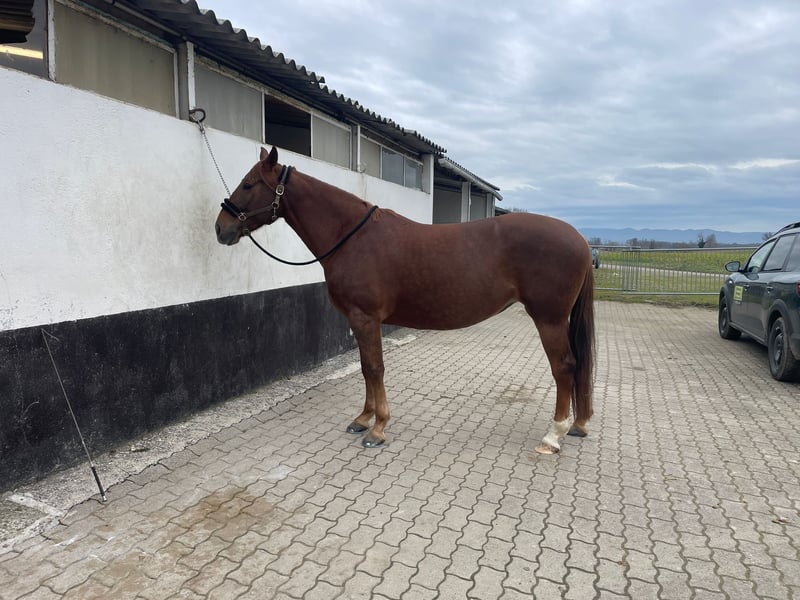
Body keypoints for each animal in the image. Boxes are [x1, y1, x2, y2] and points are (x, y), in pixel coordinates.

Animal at [215, 146, 595, 454]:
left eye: (248, 184)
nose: (221, 228)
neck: (352, 237)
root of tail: (579, 238)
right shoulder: (359, 320)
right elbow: (366, 369)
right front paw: (363, 418)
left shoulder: (365, 317)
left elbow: (374, 368)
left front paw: (378, 428)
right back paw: (576, 425)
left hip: (549, 319)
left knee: (564, 367)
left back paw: (553, 435)